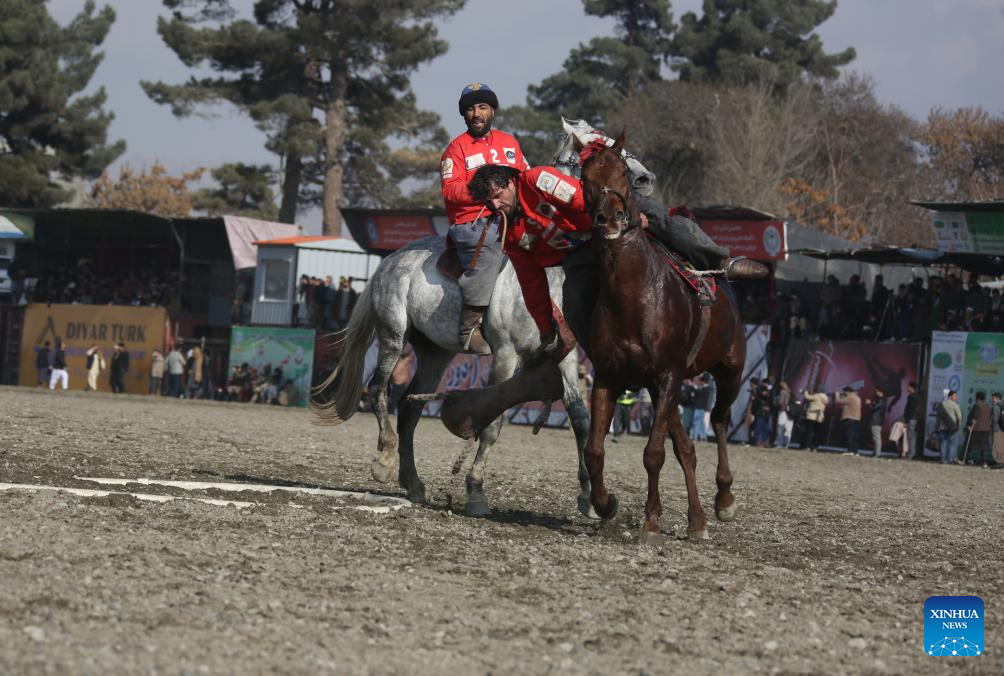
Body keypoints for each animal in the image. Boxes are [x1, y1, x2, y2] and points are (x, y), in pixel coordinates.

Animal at [577, 131, 745, 543]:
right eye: (586, 176)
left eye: (623, 172)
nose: (610, 217)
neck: (633, 296)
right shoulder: (609, 376)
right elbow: (594, 451)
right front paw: (605, 504)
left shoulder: (669, 374)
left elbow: (653, 454)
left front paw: (651, 522)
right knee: (687, 447)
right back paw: (697, 520)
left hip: (729, 369)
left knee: (720, 419)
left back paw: (724, 498)